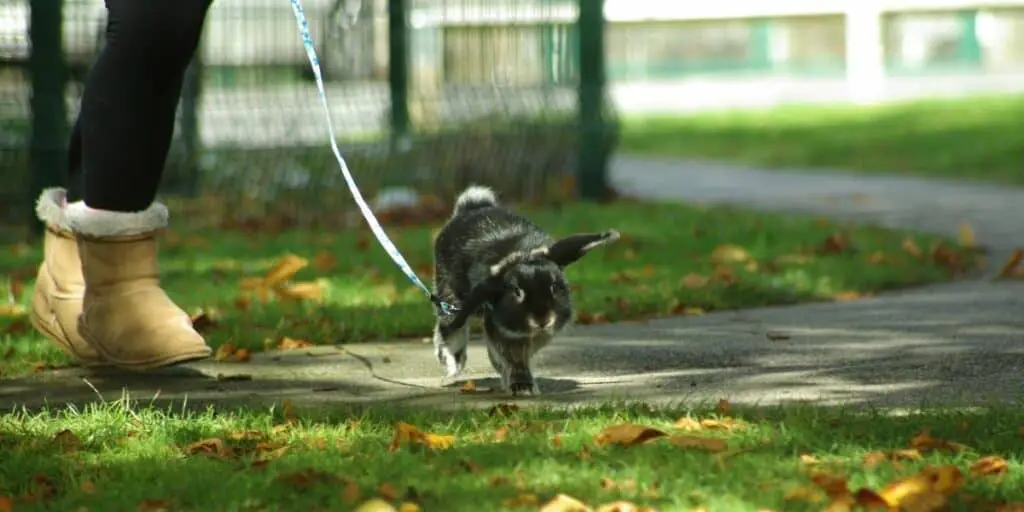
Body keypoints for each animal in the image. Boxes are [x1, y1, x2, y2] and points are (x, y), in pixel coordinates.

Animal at [430, 185, 618, 395]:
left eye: (555, 286)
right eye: (517, 291)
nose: (542, 319)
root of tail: (471, 207)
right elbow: (514, 357)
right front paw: (522, 387)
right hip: (448, 296)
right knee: (450, 330)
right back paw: (452, 367)